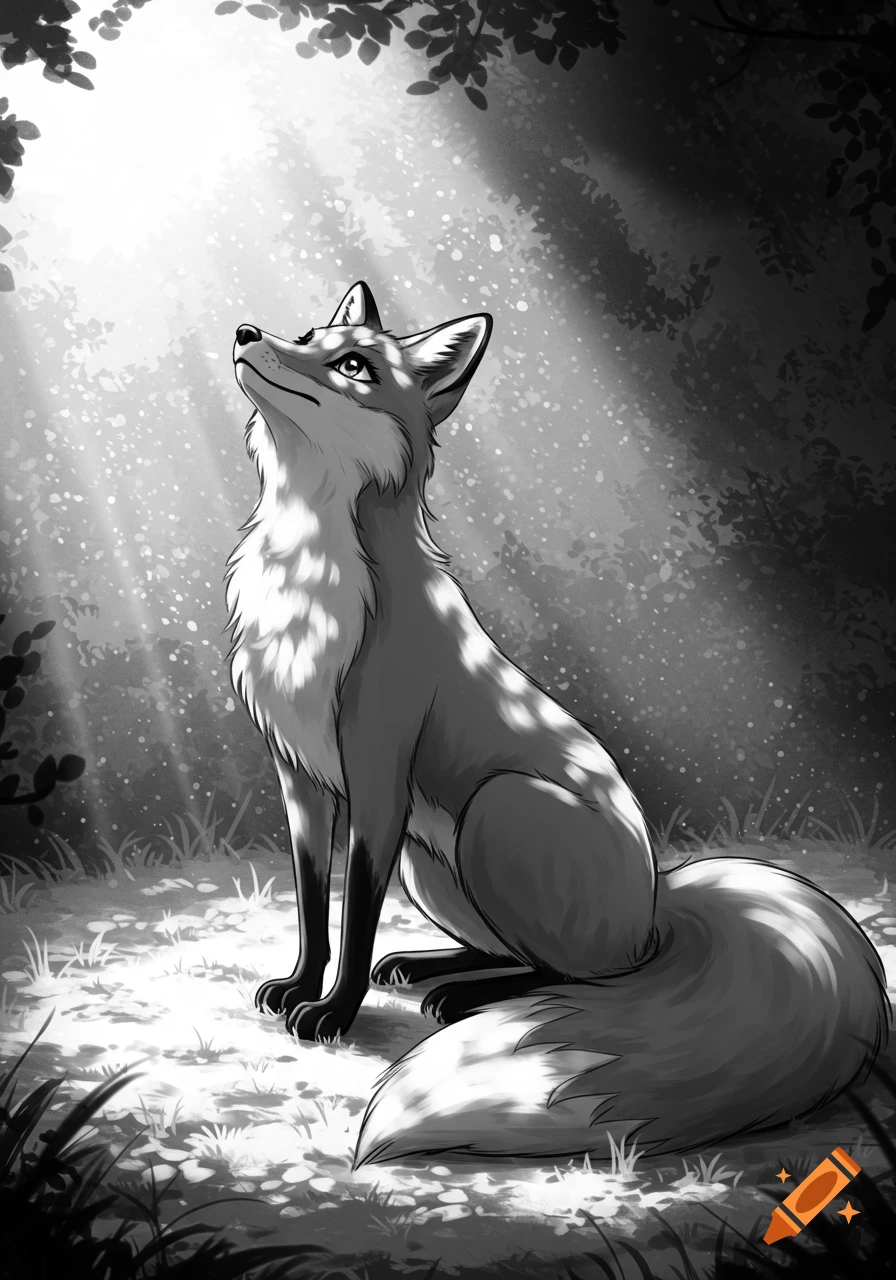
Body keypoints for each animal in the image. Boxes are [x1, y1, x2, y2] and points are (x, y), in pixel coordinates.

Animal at [226, 281, 890, 1168]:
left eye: (355, 365)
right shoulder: (299, 777)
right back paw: (433, 968)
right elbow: (311, 907)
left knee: (577, 976)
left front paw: (335, 1013)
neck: (309, 578)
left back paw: (460, 999)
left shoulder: (376, 774)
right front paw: (303, 985)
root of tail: (658, 906)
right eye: (304, 334)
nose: (244, 332)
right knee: (517, 951)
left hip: (496, 810)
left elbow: (354, 916)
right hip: (432, 864)